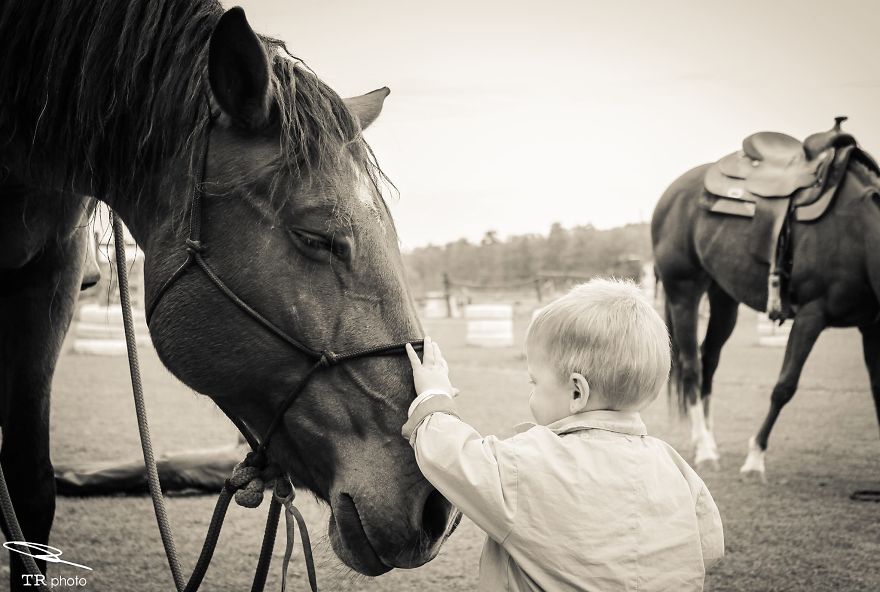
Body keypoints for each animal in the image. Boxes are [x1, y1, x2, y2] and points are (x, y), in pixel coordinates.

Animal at [651, 132, 880, 481]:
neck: (857, 230)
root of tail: (672, 193)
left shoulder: (871, 325)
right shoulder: (812, 315)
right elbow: (784, 386)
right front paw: (755, 458)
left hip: (724, 300)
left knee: (709, 361)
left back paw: (709, 441)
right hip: (683, 292)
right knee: (691, 367)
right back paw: (704, 450)